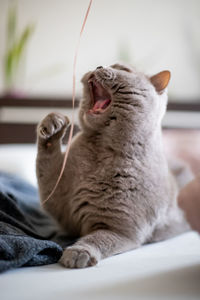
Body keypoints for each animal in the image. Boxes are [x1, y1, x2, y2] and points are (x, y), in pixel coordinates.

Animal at [36, 62, 189, 268]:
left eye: (122, 69)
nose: (98, 65)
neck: (100, 150)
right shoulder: (57, 196)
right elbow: (46, 163)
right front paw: (54, 123)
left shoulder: (121, 231)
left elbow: (98, 238)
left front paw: (78, 252)